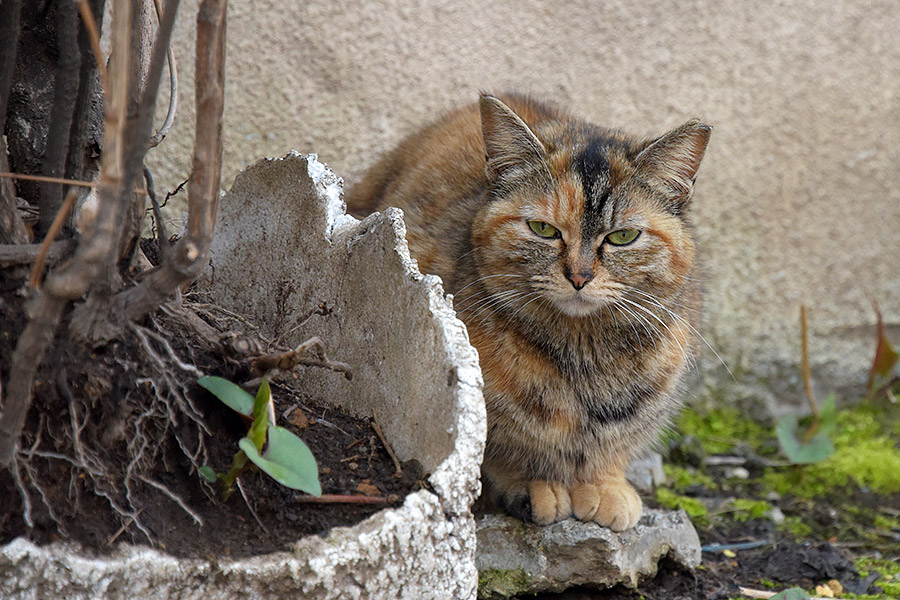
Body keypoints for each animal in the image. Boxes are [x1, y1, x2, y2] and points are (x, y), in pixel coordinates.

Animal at [344, 94, 712, 528]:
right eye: (544, 229)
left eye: (623, 236)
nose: (579, 276)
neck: (582, 353)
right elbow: (496, 444)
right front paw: (534, 484)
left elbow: (612, 444)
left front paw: (604, 485)